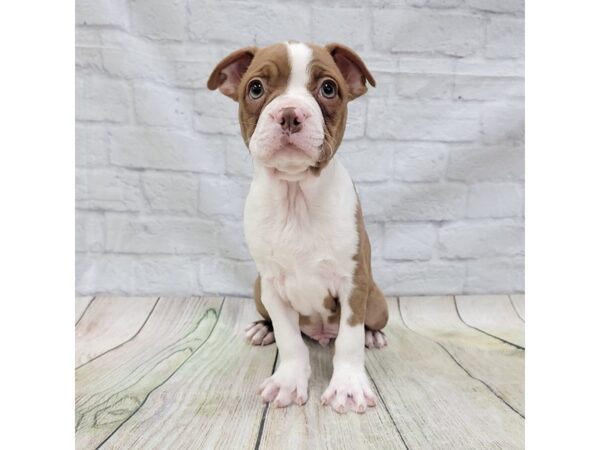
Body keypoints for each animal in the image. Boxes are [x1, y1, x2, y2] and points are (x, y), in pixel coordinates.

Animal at [209, 42, 390, 414]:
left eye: (328, 89)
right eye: (255, 88)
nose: (290, 114)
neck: (296, 198)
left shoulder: (353, 283)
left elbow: (349, 339)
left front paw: (348, 386)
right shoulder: (272, 286)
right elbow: (290, 339)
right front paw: (289, 381)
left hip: (377, 300)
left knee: (364, 325)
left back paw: (373, 334)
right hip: (257, 288)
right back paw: (262, 330)